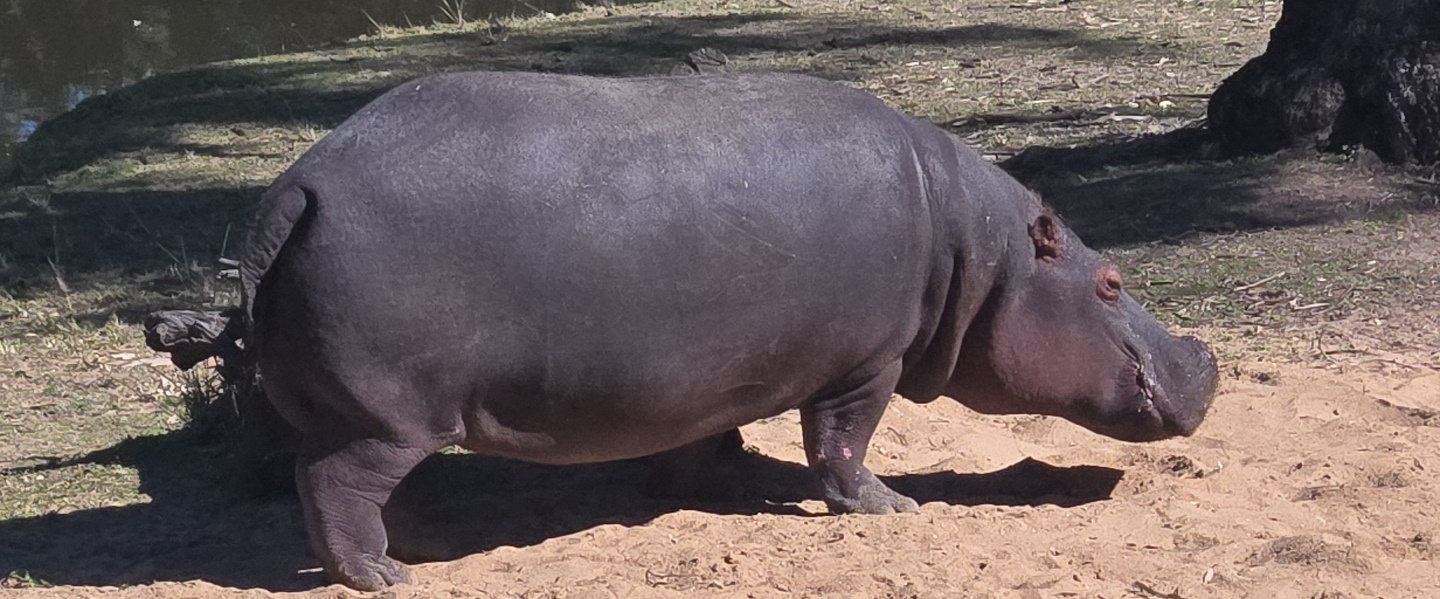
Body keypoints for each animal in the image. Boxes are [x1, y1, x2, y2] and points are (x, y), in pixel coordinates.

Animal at [237, 71, 1218, 590]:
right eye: (1110, 280)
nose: (1206, 360)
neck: (983, 254)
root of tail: (301, 183)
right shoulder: (868, 363)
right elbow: (841, 445)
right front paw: (894, 507)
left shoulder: (704, 374)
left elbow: (702, 436)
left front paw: (702, 486)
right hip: (386, 418)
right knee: (331, 483)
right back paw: (385, 576)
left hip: (371, 414)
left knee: (353, 485)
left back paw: (419, 549)